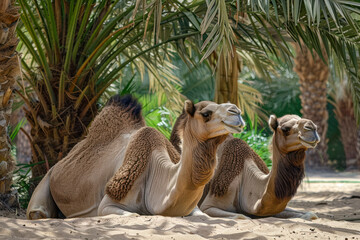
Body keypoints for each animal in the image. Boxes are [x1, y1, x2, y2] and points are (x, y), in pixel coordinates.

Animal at [25, 94, 245, 219]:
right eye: (206, 113)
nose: (237, 112)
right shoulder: (108, 203)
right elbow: (132, 216)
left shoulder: (193, 208)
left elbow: (208, 217)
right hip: (47, 177)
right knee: (37, 213)